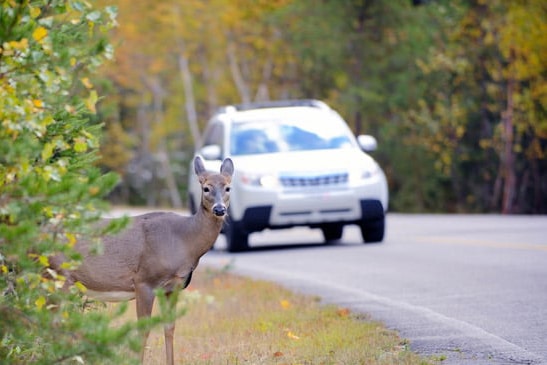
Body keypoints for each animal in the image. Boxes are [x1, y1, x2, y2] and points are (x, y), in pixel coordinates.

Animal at [49, 156, 233, 364]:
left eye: (228, 187)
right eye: (206, 188)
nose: (220, 209)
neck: (183, 240)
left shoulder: (173, 287)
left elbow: (170, 328)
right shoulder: (144, 281)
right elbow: (143, 331)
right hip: (59, 274)